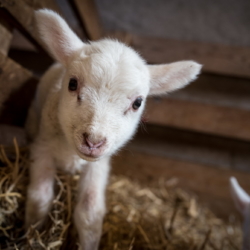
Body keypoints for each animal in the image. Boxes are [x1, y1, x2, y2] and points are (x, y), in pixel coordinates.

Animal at [24, 8, 201, 249]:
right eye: (72, 84)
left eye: (137, 103)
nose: (93, 141)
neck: (70, 153)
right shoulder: (42, 148)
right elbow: (39, 199)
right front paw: (30, 235)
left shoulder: (98, 165)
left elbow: (90, 213)